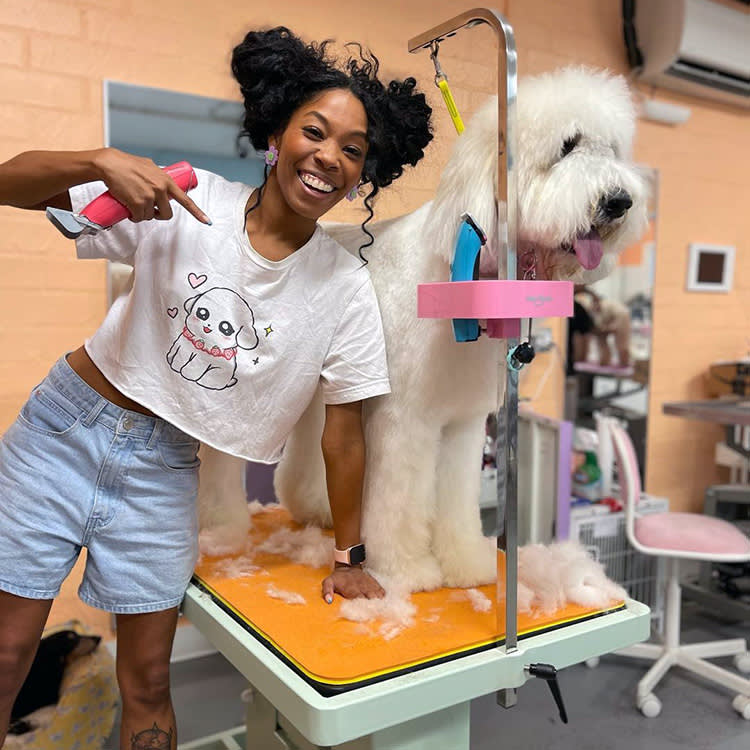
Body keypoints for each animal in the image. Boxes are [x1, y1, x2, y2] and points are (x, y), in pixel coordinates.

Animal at [197, 67, 648, 608]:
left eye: (611, 149)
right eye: (568, 146)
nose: (619, 201)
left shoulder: (462, 425)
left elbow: (454, 501)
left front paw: (466, 564)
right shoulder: (404, 422)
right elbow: (400, 503)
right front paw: (408, 571)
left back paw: (316, 510)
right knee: (219, 461)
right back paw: (220, 527)